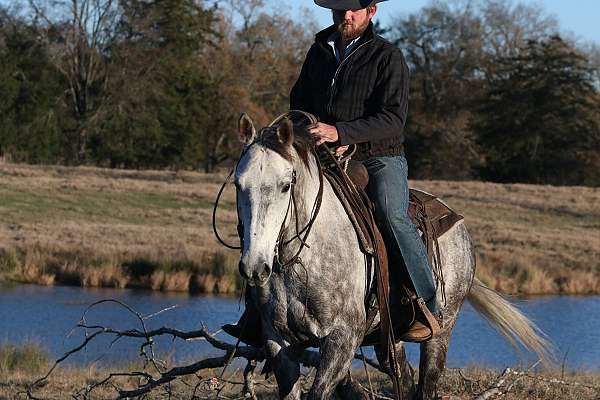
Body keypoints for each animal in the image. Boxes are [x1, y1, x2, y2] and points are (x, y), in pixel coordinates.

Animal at [232, 113, 552, 400]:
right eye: (237, 184)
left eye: (286, 185)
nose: (255, 267)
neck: (303, 262)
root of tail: (456, 220)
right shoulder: (278, 342)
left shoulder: (342, 339)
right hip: (390, 337)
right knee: (404, 379)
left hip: (442, 330)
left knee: (427, 384)